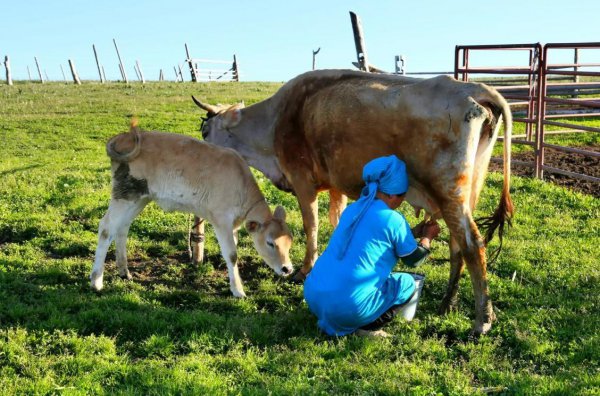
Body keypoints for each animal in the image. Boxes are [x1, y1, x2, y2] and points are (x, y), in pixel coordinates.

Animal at [90, 123, 294, 296]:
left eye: (290, 242)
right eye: (270, 243)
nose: (287, 269)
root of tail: (124, 136)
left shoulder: (233, 224)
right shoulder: (221, 219)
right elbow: (232, 254)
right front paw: (238, 291)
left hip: (139, 197)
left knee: (122, 228)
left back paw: (124, 272)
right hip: (124, 194)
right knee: (106, 228)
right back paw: (96, 281)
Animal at [192, 69, 510, 332]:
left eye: (205, 131)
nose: (199, 154)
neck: (277, 119)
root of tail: (472, 87)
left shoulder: (302, 180)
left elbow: (311, 225)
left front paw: (305, 270)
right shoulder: (336, 184)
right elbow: (335, 221)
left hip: (449, 192)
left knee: (472, 245)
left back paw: (482, 321)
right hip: (466, 193)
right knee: (458, 247)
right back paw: (448, 304)